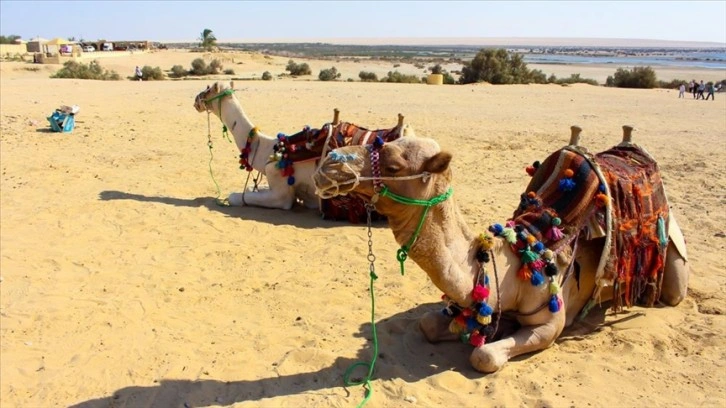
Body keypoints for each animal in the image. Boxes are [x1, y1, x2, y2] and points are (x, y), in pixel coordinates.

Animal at [312, 126, 688, 372]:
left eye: (393, 166)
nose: (329, 163)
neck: (512, 265)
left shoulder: (549, 322)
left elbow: (484, 356)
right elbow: (429, 325)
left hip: (672, 255)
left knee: (673, 293)